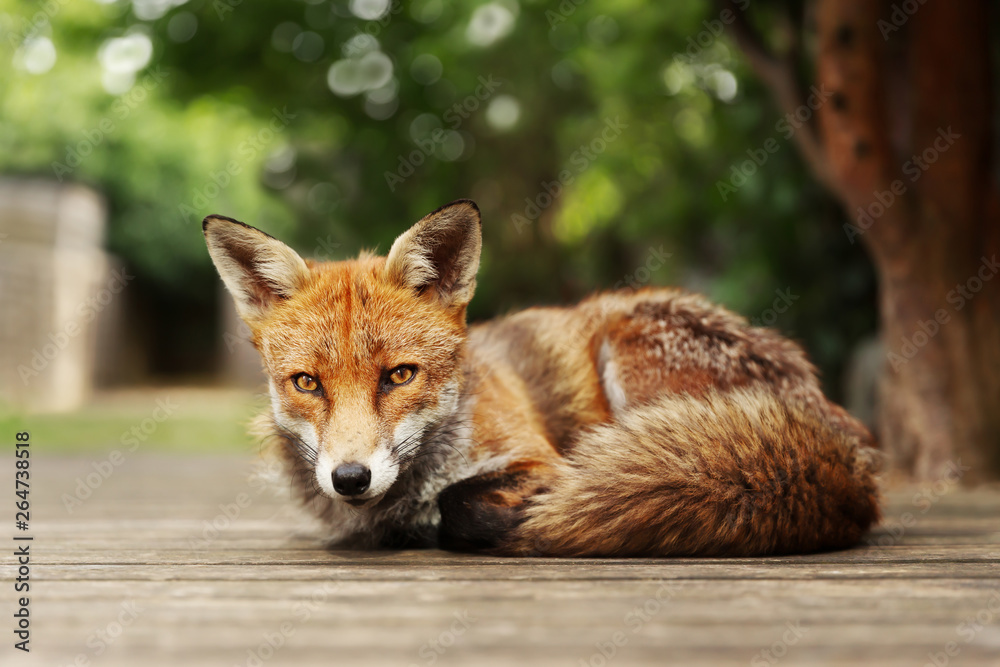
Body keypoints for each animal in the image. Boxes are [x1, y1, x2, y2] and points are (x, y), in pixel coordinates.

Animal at [203, 199, 880, 557]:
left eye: (399, 375)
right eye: (307, 383)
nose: (350, 478)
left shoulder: (540, 460)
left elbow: (459, 501)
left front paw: (514, 518)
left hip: (630, 354)